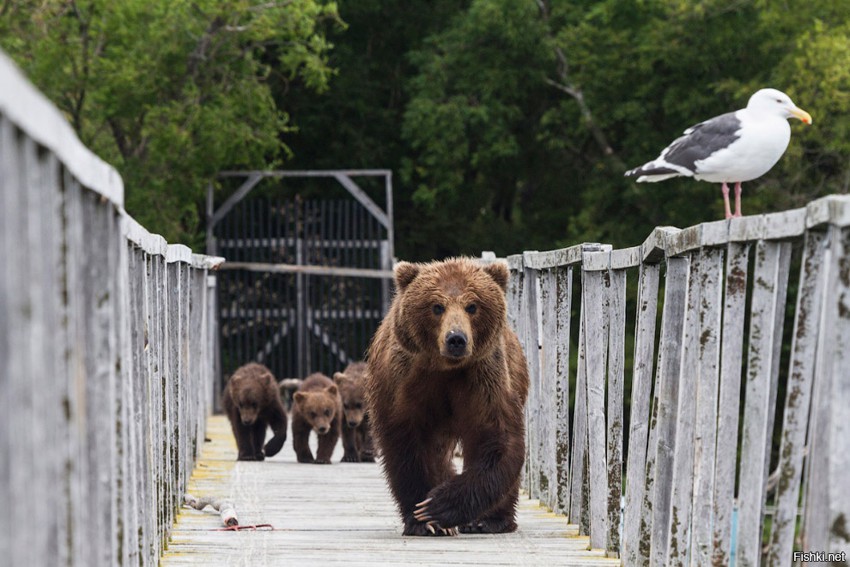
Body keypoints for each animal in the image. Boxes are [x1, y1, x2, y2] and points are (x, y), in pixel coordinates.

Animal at [366, 258, 528, 536]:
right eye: (437, 306)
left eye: (472, 305)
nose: (456, 339)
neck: (446, 369)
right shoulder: (403, 382)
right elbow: (406, 443)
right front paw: (423, 518)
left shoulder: (484, 377)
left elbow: (498, 438)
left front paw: (438, 506)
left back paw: (490, 520)